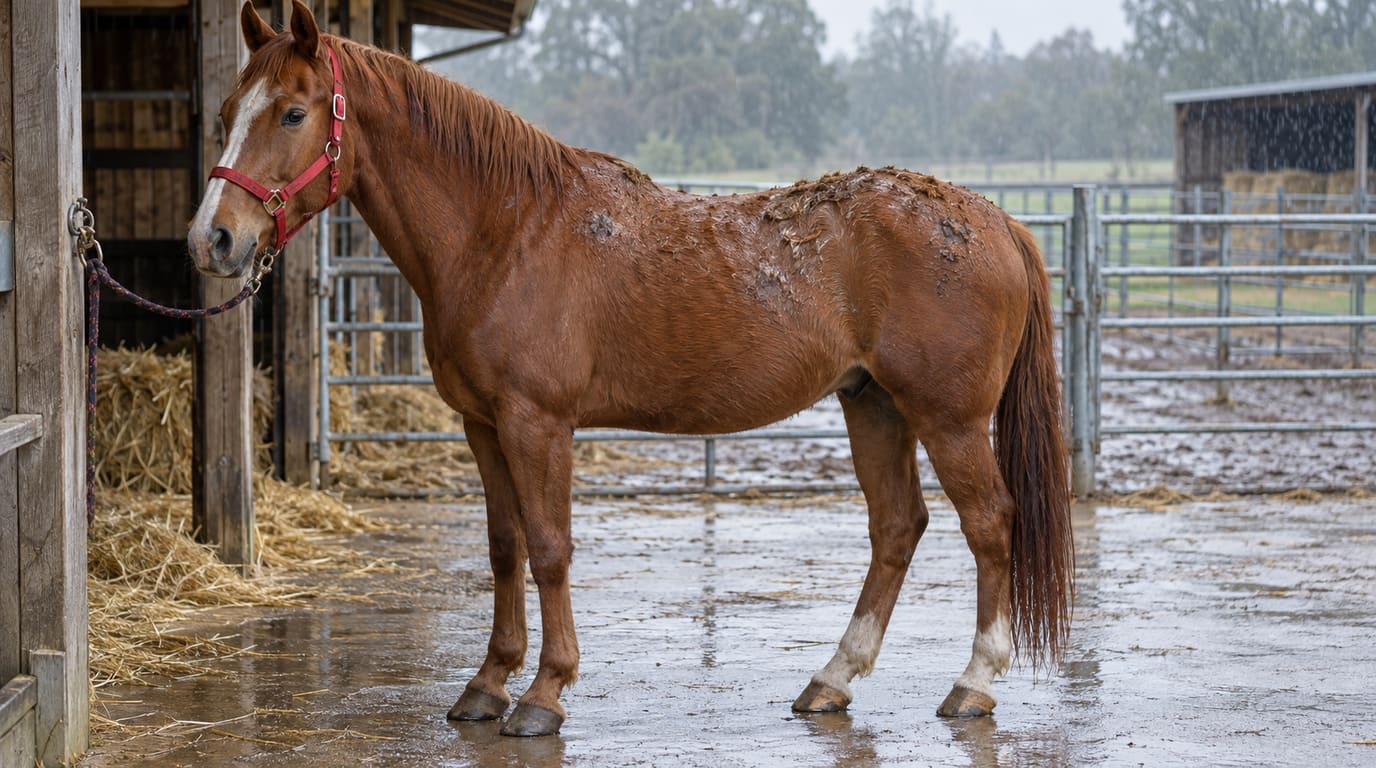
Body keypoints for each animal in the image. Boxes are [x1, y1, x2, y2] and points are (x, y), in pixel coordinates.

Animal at [187, 1, 1073, 738]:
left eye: (293, 112)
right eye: (227, 114)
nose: (213, 239)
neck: (506, 231)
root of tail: (996, 220)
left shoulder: (538, 423)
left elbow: (549, 548)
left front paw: (544, 694)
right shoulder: (482, 425)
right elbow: (504, 547)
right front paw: (486, 685)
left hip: (947, 418)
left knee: (990, 524)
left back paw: (973, 684)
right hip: (873, 404)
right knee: (896, 528)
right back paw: (831, 679)